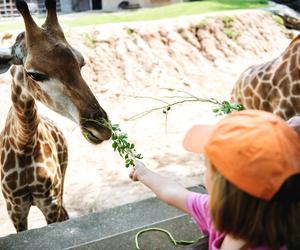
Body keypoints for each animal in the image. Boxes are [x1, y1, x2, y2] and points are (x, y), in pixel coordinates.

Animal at [0, 0, 111, 231]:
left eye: (81, 63)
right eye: (34, 74)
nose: (102, 129)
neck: (24, 142)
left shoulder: (50, 202)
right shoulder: (14, 208)